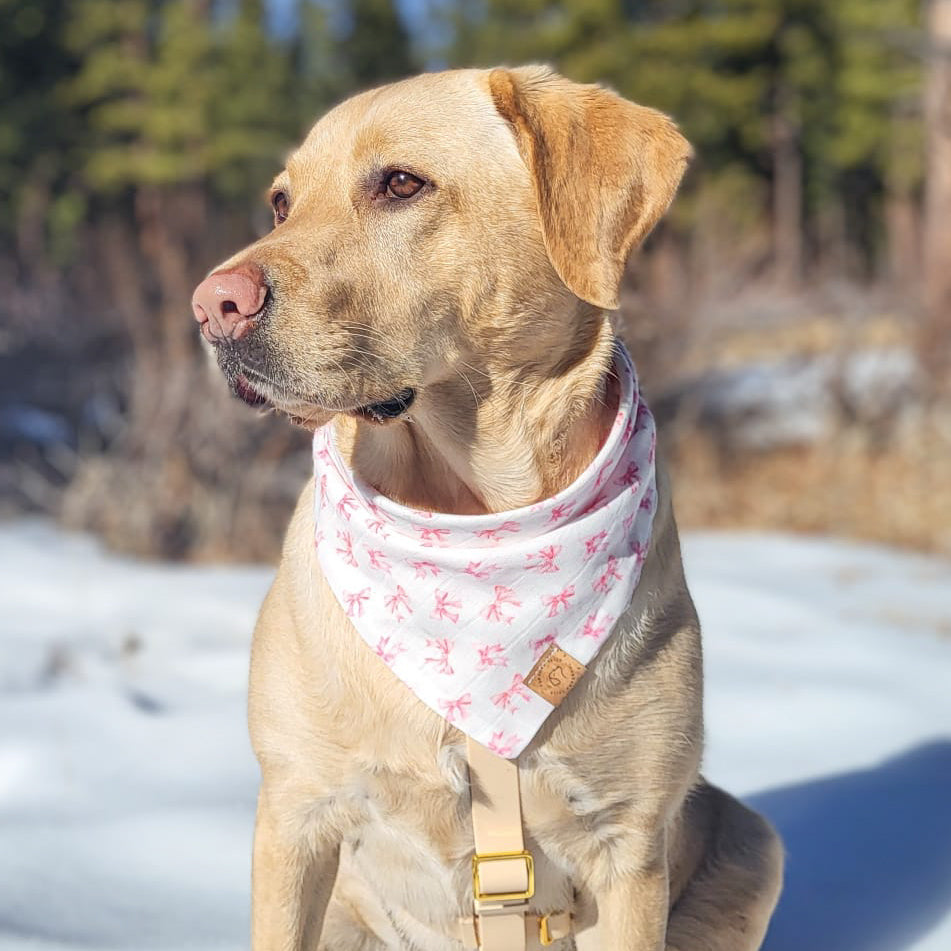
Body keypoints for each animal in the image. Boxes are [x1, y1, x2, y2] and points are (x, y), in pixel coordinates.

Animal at [192, 67, 780, 951]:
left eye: (401, 183)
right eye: (281, 203)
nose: (210, 305)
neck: (469, 524)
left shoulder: (630, 847)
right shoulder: (295, 814)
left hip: (749, 839)